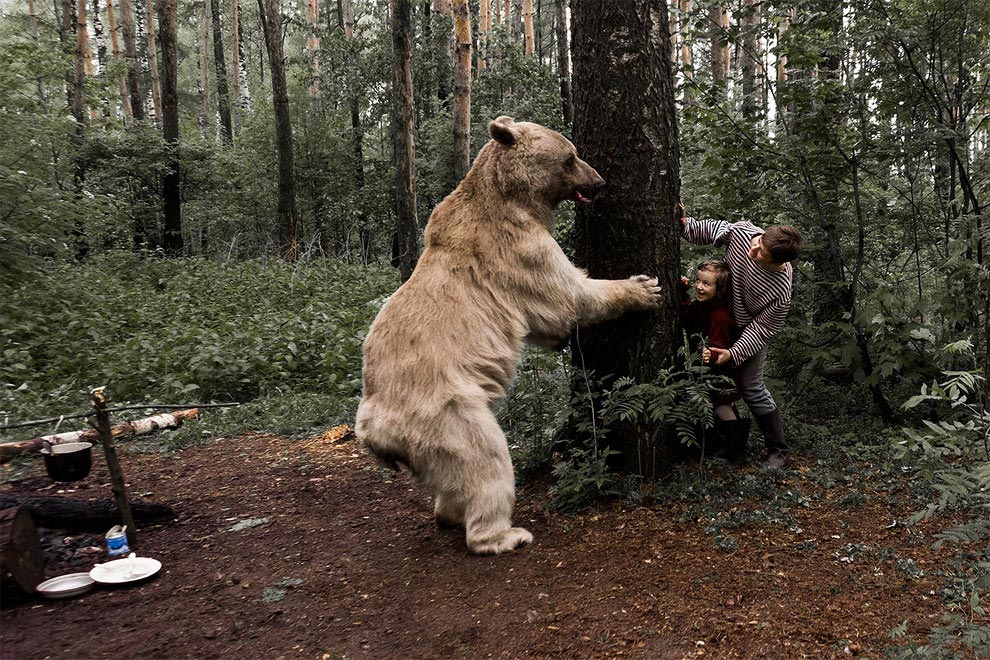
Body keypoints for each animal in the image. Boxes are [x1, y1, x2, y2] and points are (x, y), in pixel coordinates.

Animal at [354, 116, 661, 555]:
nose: (600, 181)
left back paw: (449, 513)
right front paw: (642, 287)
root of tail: (372, 431)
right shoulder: (515, 247)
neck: (512, 198)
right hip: (444, 410)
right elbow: (567, 296)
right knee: (485, 459)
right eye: (571, 156)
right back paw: (503, 534)